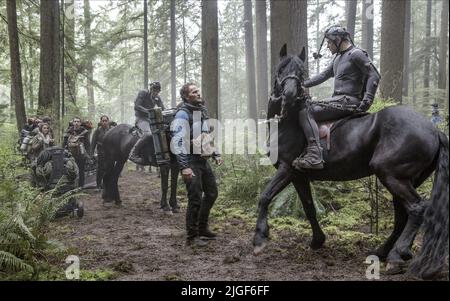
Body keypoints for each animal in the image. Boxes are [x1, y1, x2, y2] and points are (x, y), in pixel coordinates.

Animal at [255, 44, 448, 278]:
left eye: (301, 72)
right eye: (281, 69)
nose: (291, 95)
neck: (288, 121)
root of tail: (433, 130)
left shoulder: (286, 169)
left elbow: (265, 197)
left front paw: (259, 239)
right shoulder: (299, 176)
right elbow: (309, 207)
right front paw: (317, 241)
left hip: (391, 175)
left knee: (417, 208)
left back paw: (396, 255)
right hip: (407, 179)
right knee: (403, 214)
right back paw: (387, 252)